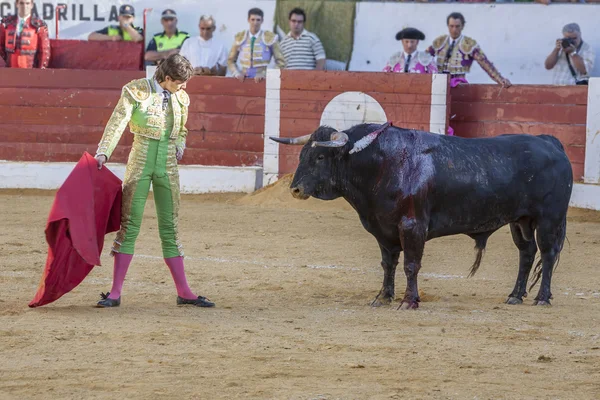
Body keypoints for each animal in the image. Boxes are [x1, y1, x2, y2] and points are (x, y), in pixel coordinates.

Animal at [270, 123, 572, 310]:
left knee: (547, 254)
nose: (295, 189)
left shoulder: (412, 226)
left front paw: (409, 301)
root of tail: (549, 141)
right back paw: (515, 296)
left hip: (549, 219)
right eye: (302, 154)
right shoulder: (383, 229)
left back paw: (542, 298)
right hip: (519, 221)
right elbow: (388, 264)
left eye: (320, 157)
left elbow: (411, 265)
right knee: (526, 253)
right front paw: (383, 297)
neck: (381, 164)